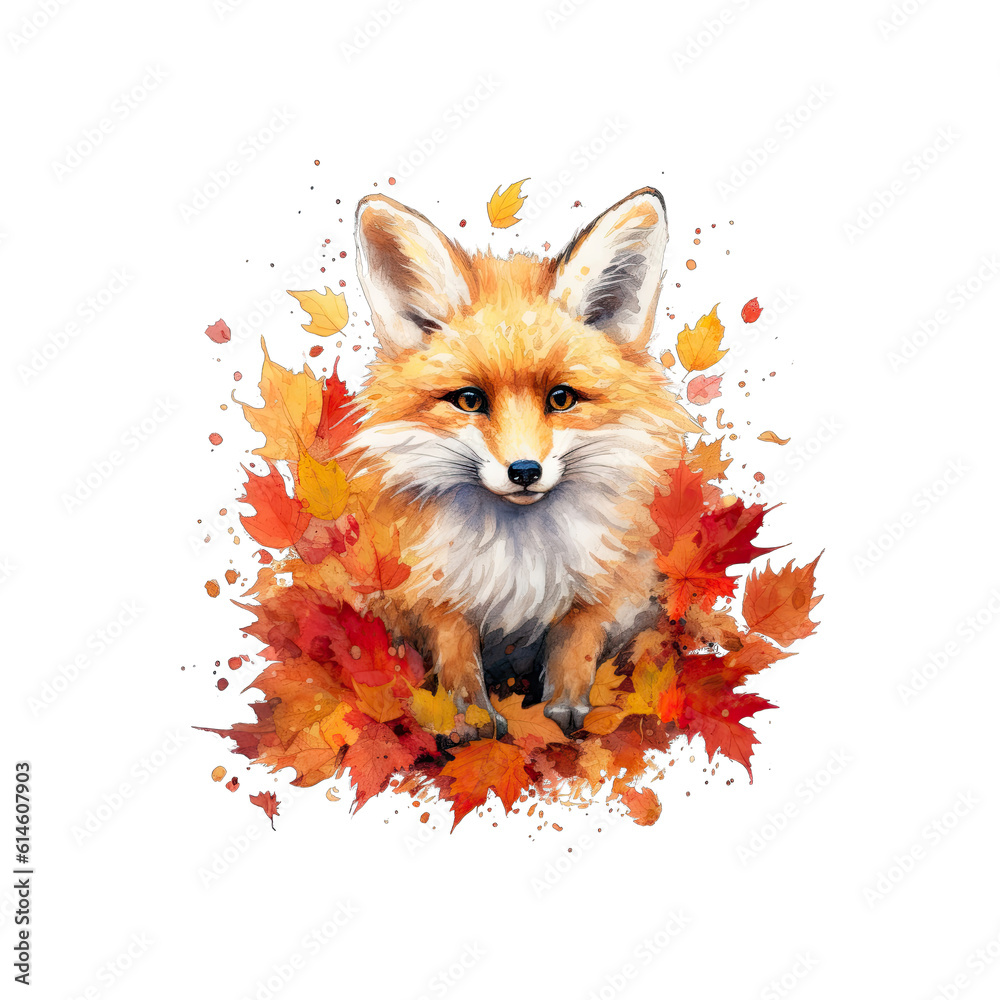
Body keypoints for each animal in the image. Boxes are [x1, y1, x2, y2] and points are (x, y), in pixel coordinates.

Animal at [344, 187, 703, 737]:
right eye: (469, 401)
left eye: (561, 399)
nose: (525, 472)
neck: (520, 554)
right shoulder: (432, 590)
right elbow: (457, 659)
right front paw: (471, 719)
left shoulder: (603, 587)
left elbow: (575, 652)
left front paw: (565, 713)